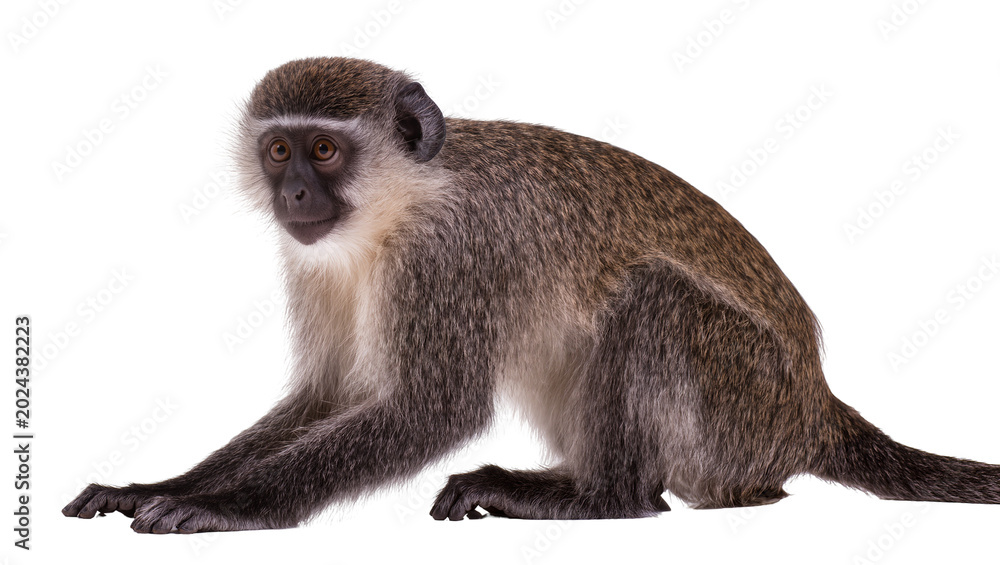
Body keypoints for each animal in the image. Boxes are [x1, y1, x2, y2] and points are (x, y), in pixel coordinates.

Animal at [63, 57, 1000, 534]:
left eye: (324, 152)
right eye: (280, 151)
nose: (293, 194)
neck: (404, 203)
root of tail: (811, 403)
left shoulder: (453, 256)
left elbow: (430, 408)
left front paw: (223, 503)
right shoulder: (317, 260)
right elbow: (331, 394)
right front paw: (158, 480)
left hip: (744, 408)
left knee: (652, 301)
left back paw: (599, 495)